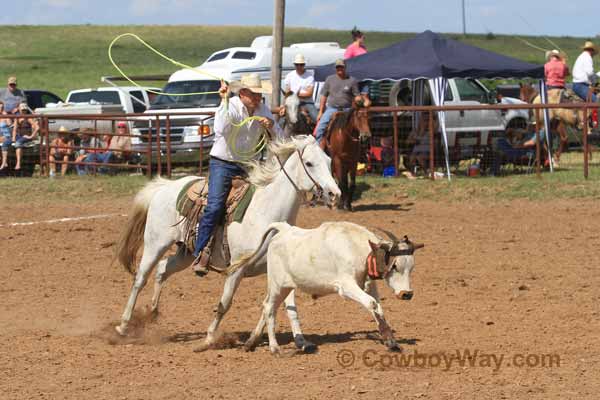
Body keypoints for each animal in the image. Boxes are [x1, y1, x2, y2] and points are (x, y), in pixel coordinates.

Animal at [112, 135, 338, 354]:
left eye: (329, 161)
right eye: (309, 163)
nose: (334, 194)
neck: (265, 213)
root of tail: (165, 187)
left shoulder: (281, 270)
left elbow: (286, 305)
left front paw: (296, 340)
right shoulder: (236, 269)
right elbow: (225, 303)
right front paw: (209, 339)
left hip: (186, 252)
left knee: (162, 270)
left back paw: (152, 312)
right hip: (155, 244)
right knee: (140, 279)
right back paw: (123, 326)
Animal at [229, 220, 422, 354]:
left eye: (411, 267)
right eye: (394, 266)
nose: (407, 294)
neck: (355, 247)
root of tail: (284, 229)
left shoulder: (368, 285)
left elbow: (378, 307)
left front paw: (391, 341)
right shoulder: (346, 286)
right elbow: (371, 304)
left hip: (285, 287)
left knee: (269, 306)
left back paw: (252, 342)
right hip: (277, 284)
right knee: (269, 307)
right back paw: (274, 348)